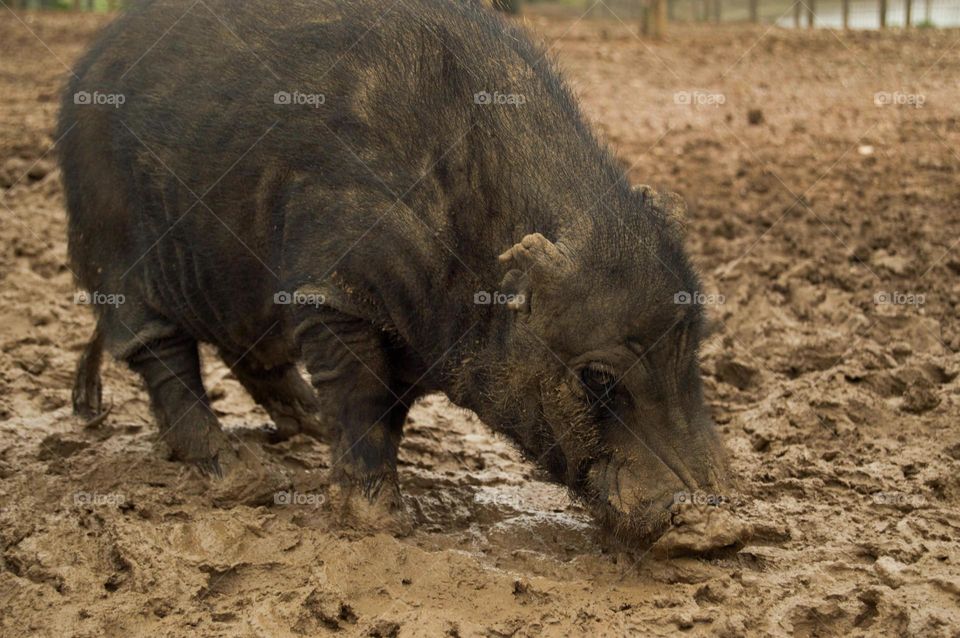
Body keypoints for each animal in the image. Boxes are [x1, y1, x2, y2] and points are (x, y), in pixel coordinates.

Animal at [59, 0, 728, 544]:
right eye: (595, 378)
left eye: (694, 346)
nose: (717, 521)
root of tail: (79, 78)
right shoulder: (330, 291)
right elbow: (360, 392)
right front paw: (382, 522)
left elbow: (392, 408)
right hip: (113, 248)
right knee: (160, 352)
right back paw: (239, 478)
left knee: (251, 351)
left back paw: (304, 428)